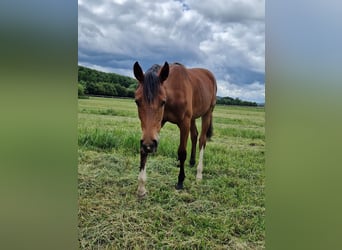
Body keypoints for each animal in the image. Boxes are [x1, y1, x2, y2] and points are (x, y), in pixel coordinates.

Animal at [133, 61, 216, 197]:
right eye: (137, 101)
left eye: (162, 102)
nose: (149, 145)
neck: (173, 93)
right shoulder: (158, 124)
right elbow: (143, 151)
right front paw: (141, 187)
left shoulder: (184, 123)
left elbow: (182, 152)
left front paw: (180, 181)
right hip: (193, 117)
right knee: (194, 135)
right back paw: (192, 162)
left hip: (207, 113)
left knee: (202, 140)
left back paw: (199, 173)